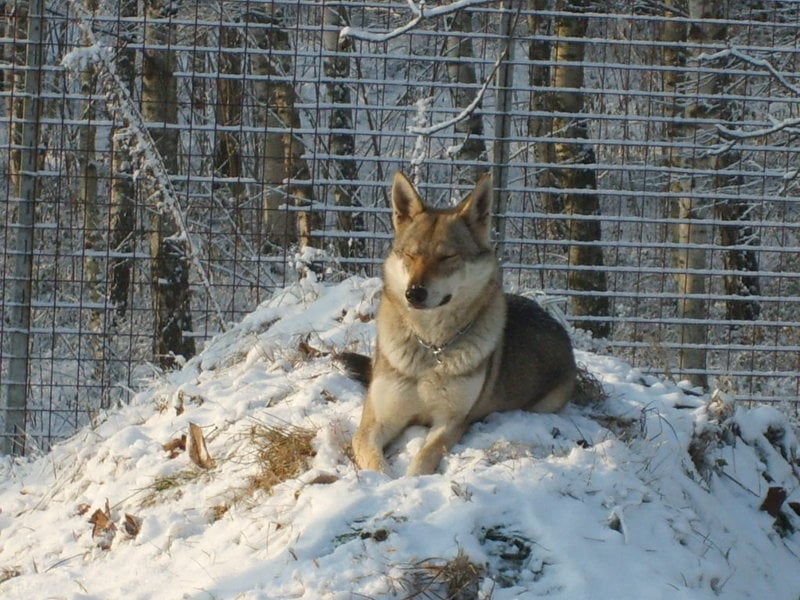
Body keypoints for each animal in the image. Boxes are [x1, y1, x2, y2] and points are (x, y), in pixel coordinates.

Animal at [344, 171, 576, 476]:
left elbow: (423, 460)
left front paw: (410, 480)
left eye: (447, 257)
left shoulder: (451, 422)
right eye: (410, 255)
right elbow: (377, 464)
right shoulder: (375, 424)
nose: (414, 293)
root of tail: (556, 323)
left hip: (544, 405)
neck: (430, 346)